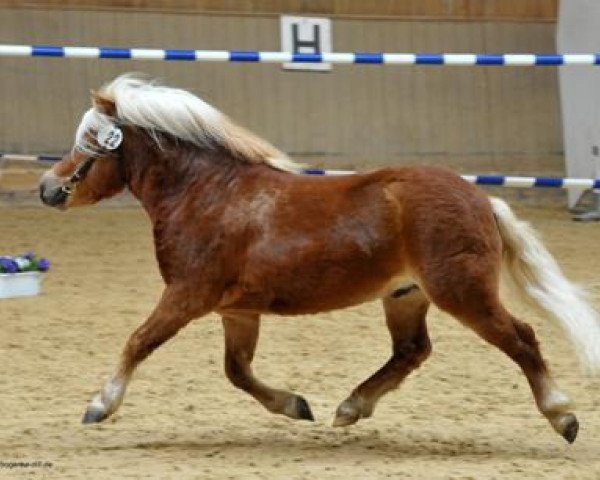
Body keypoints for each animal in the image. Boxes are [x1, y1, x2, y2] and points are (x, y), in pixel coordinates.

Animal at [39, 74, 596, 442]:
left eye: (90, 143)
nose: (47, 188)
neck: (208, 194)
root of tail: (482, 199)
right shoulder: (237, 310)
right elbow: (236, 370)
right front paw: (295, 406)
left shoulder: (187, 295)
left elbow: (138, 342)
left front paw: (99, 406)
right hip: (405, 295)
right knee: (411, 351)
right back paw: (351, 407)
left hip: (463, 292)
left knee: (522, 338)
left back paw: (563, 416)